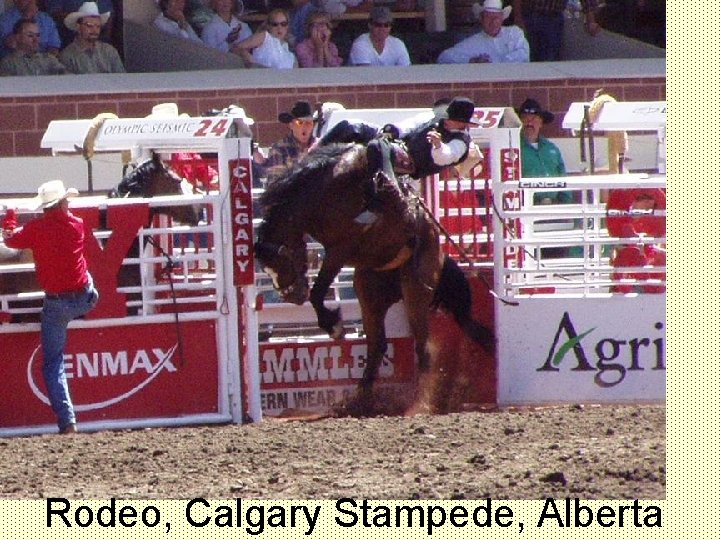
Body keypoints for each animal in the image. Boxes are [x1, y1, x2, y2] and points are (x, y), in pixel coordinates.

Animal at [255, 141, 496, 412]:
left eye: (281, 261)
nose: (292, 296)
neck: (327, 192)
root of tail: (439, 250)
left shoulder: (340, 250)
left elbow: (318, 292)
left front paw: (335, 326)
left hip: (416, 290)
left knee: (422, 349)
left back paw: (418, 404)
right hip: (369, 291)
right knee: (377, 346)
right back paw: (358, 401)